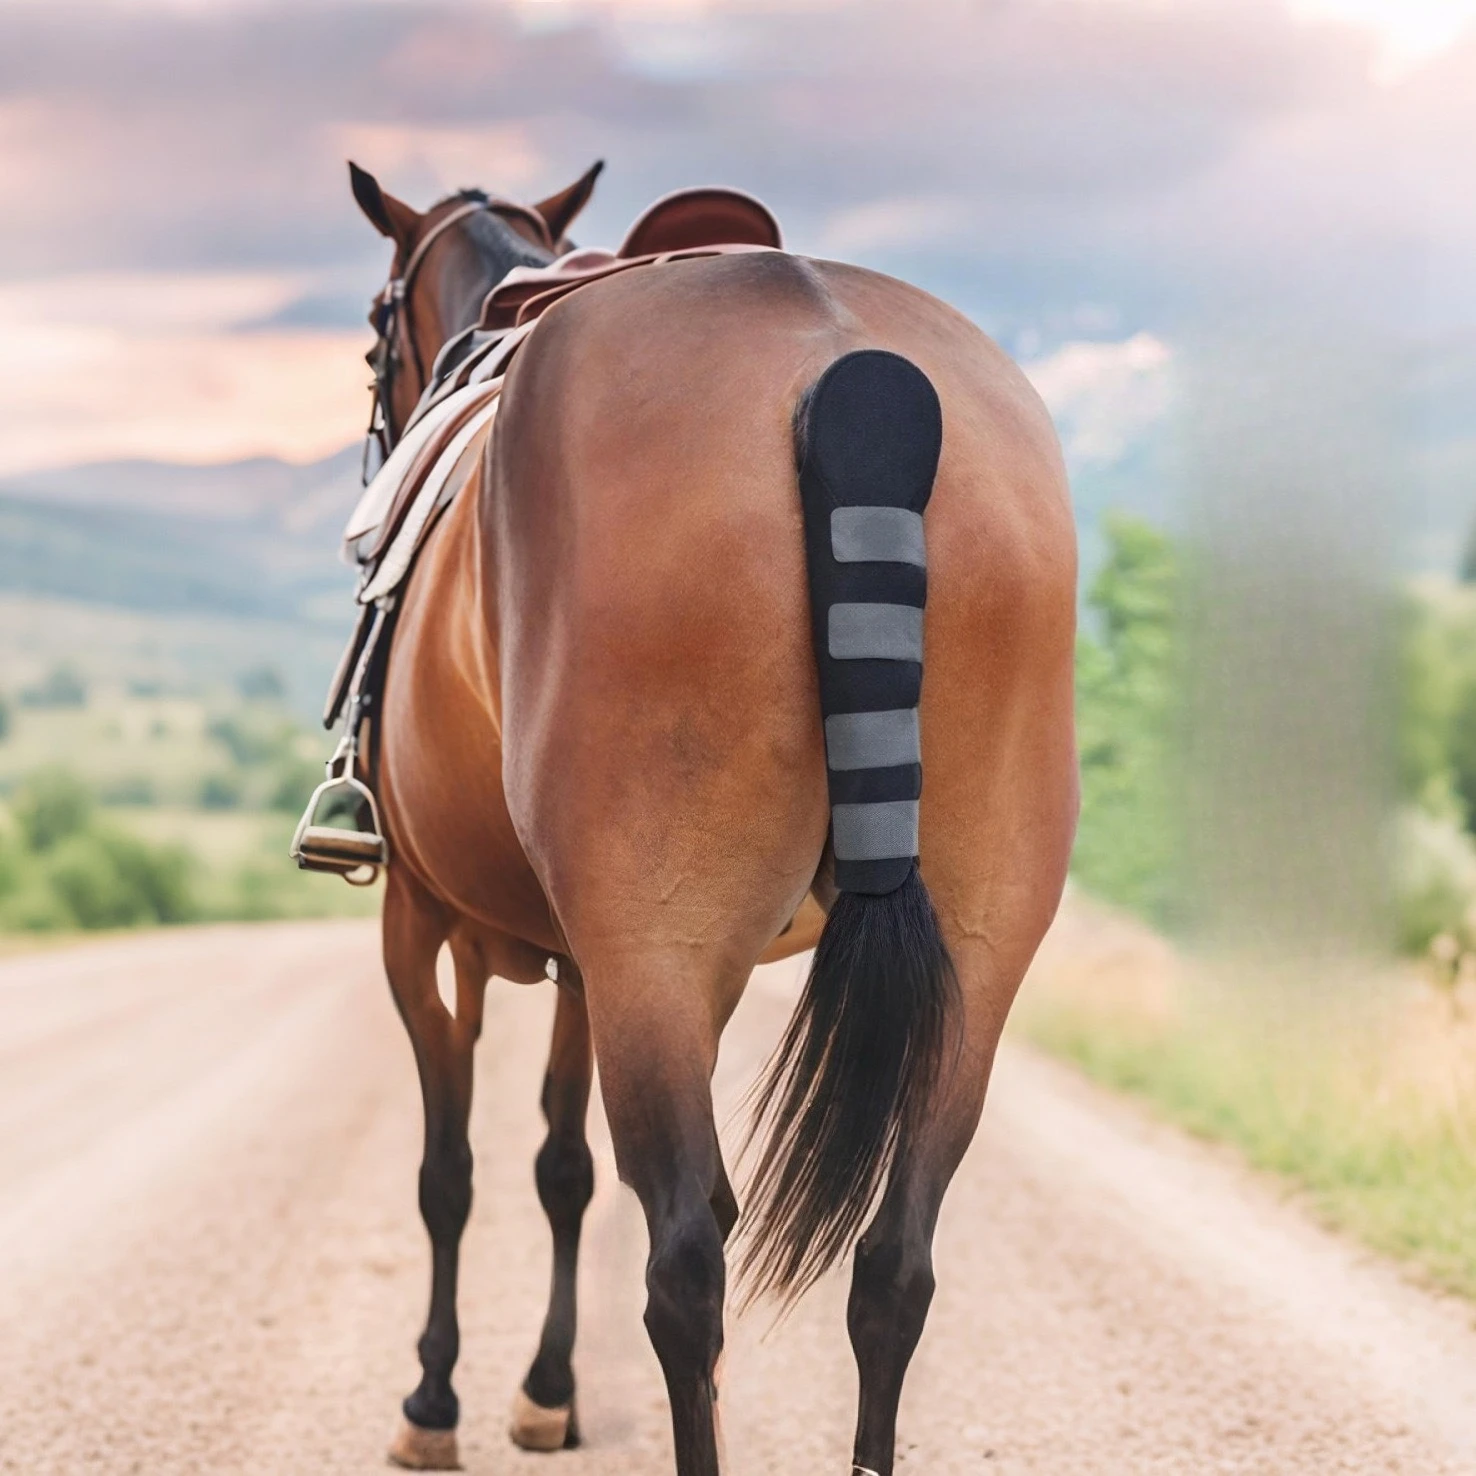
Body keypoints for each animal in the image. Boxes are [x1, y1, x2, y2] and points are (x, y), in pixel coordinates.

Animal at [345, 159, 1078, 1475]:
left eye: (378, 332)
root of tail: (855, 372)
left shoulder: (430, 927)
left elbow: (455, 1173)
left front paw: (437, 1400)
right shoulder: (591, 961)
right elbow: (559, 1166)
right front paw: (545, 1389)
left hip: (653, 943)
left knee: (686, 1259)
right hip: (975, 950)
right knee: (896, 1265)